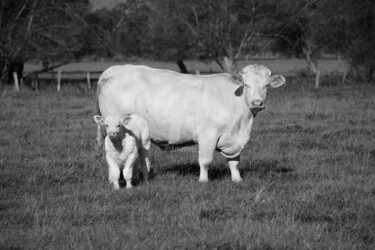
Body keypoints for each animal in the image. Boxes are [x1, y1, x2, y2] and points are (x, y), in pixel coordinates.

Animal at [95, 64, 286, 182]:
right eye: (246, 85)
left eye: (266, 85)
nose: (257, 103)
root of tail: (114, 70)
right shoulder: (208, 135)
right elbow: (206, 160)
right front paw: (203, 180)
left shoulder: (234, 139)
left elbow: (234, 161)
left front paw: (237, 179)